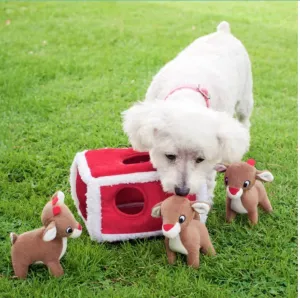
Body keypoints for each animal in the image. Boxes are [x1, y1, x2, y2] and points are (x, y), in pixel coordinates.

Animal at [122, 21, 253, 207]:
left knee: (244, 120)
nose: (182, 191)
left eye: (200, 159)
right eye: (169, 156)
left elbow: (208, 180)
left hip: (245, 97)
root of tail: (223, 32)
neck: (187, 94)